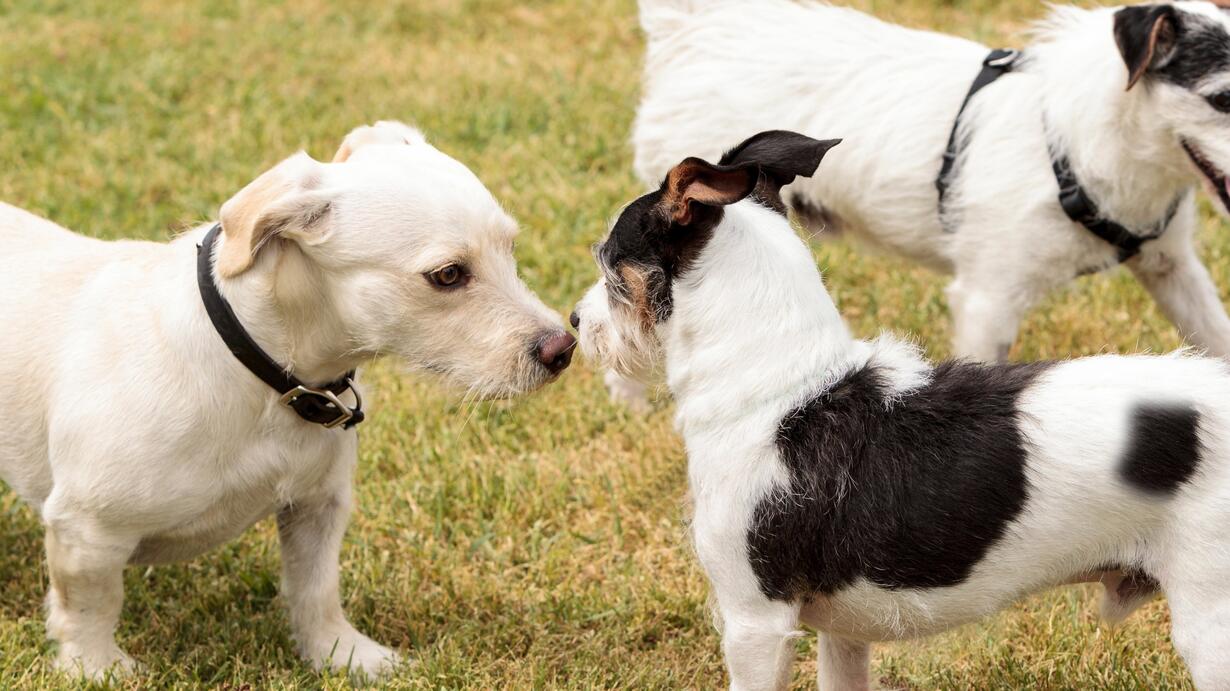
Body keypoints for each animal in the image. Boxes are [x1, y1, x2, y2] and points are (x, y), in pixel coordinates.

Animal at [0, 121, 575, 679]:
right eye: (448, 274)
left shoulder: (318, 506)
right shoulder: (86, 531)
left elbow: (315, 590)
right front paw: (95, 668)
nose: (563, 349)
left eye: (510, 248)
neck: (261, 377)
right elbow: (91, 607)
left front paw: (343, 656)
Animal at [574, 130, 1230, 690]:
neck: (786, 390)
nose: (577, 321)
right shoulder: (840, 634)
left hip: (1210, 625)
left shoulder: (755, 621)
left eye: (608, 266)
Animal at [602, 0, 1230, 407]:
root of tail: (696, 27)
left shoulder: (1173, 268)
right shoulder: (987, 302)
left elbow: (1215, 337)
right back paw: (631, 401)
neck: (1080, 137)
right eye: (1222, 98)